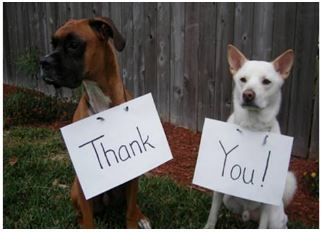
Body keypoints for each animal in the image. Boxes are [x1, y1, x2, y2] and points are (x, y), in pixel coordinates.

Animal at [40, 17, 151, 228]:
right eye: (53, 44)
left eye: (74, 45)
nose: (43, 62)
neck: (99, 98)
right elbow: (89, 219)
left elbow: (130, 213)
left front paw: (135, 220)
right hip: (76, 188)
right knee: (82, 213)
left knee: (131, 206)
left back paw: (141, 216)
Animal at [204, 44, 298, 228]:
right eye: (243, 79)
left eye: (266, 81)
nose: (248, 94)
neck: (252, 126)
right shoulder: (219, 187)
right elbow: (212, 214)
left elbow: (262, 226)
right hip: (228, 200)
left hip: (275, 218)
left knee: (280, 222)